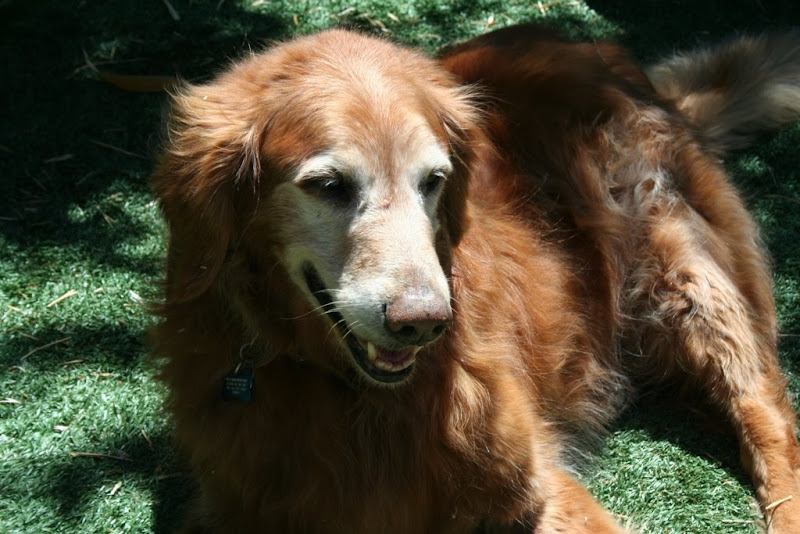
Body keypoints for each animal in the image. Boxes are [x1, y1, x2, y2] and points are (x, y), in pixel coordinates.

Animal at [150, 23, 800, 532]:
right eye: (329, 185)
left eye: (433, 180)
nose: (424, 323)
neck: (353, 398)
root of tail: (592, 51)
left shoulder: (538, 486)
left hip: (688, 276)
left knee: (767, 413)